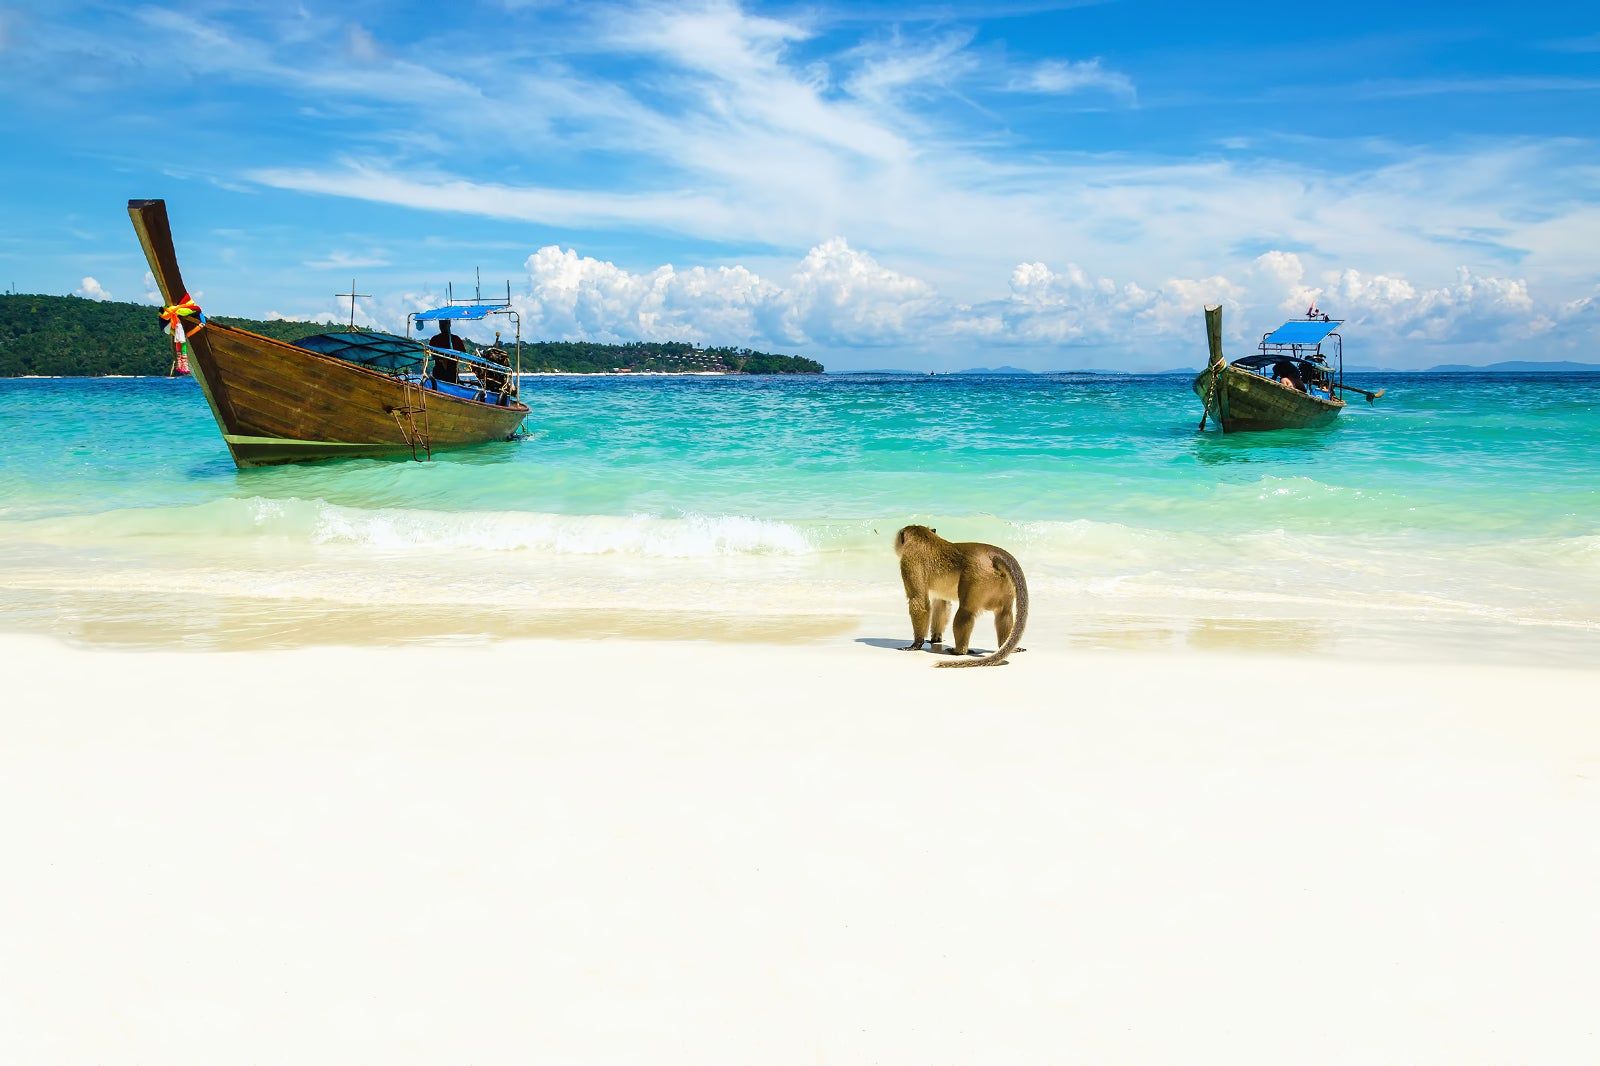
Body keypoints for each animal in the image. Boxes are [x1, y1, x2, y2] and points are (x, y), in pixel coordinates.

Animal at [893, 525, 1029, 668]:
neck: (925, 538)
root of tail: (993, 554)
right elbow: (942, 602)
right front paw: (935, 638)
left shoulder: (909, 561)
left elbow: (919, 602)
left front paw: (917, 643)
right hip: (1004, 582)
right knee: (1004, 612)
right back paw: (1005, 645)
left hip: (977, 576)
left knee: (965, 611)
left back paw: (959, 651)